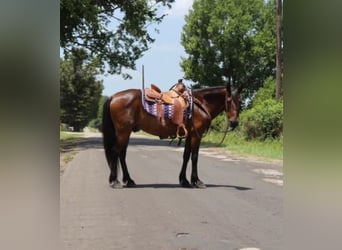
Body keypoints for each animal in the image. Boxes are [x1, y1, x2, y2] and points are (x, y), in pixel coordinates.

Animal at [101, 85, 240, 188]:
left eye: (240, 101)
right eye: (228, 100)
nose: (234, 122)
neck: (200, 104)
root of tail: (113, 97)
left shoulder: (189, 135)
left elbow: (186, 156)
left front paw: (184, 181)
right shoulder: (196, 135)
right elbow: (195, 157)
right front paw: (197, 181)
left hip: (126, 132)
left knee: (121, 154)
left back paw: (128, 180)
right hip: (123, 131)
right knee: (115, 152)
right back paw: (115, 181)